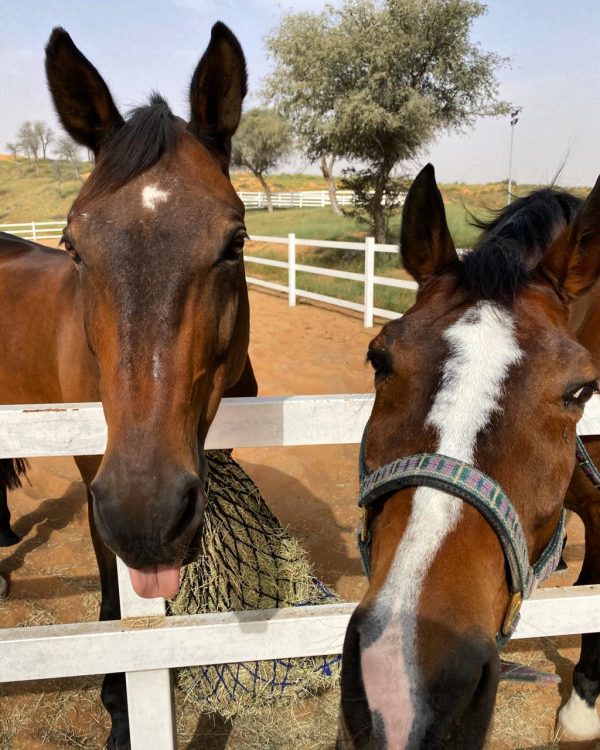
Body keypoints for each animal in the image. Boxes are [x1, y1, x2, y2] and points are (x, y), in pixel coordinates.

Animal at [0, 23, 256, 749]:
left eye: (236, 240)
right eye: (73, 245)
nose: (143, 513)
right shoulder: (98, 481)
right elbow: (119, 603)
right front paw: (121, 709)